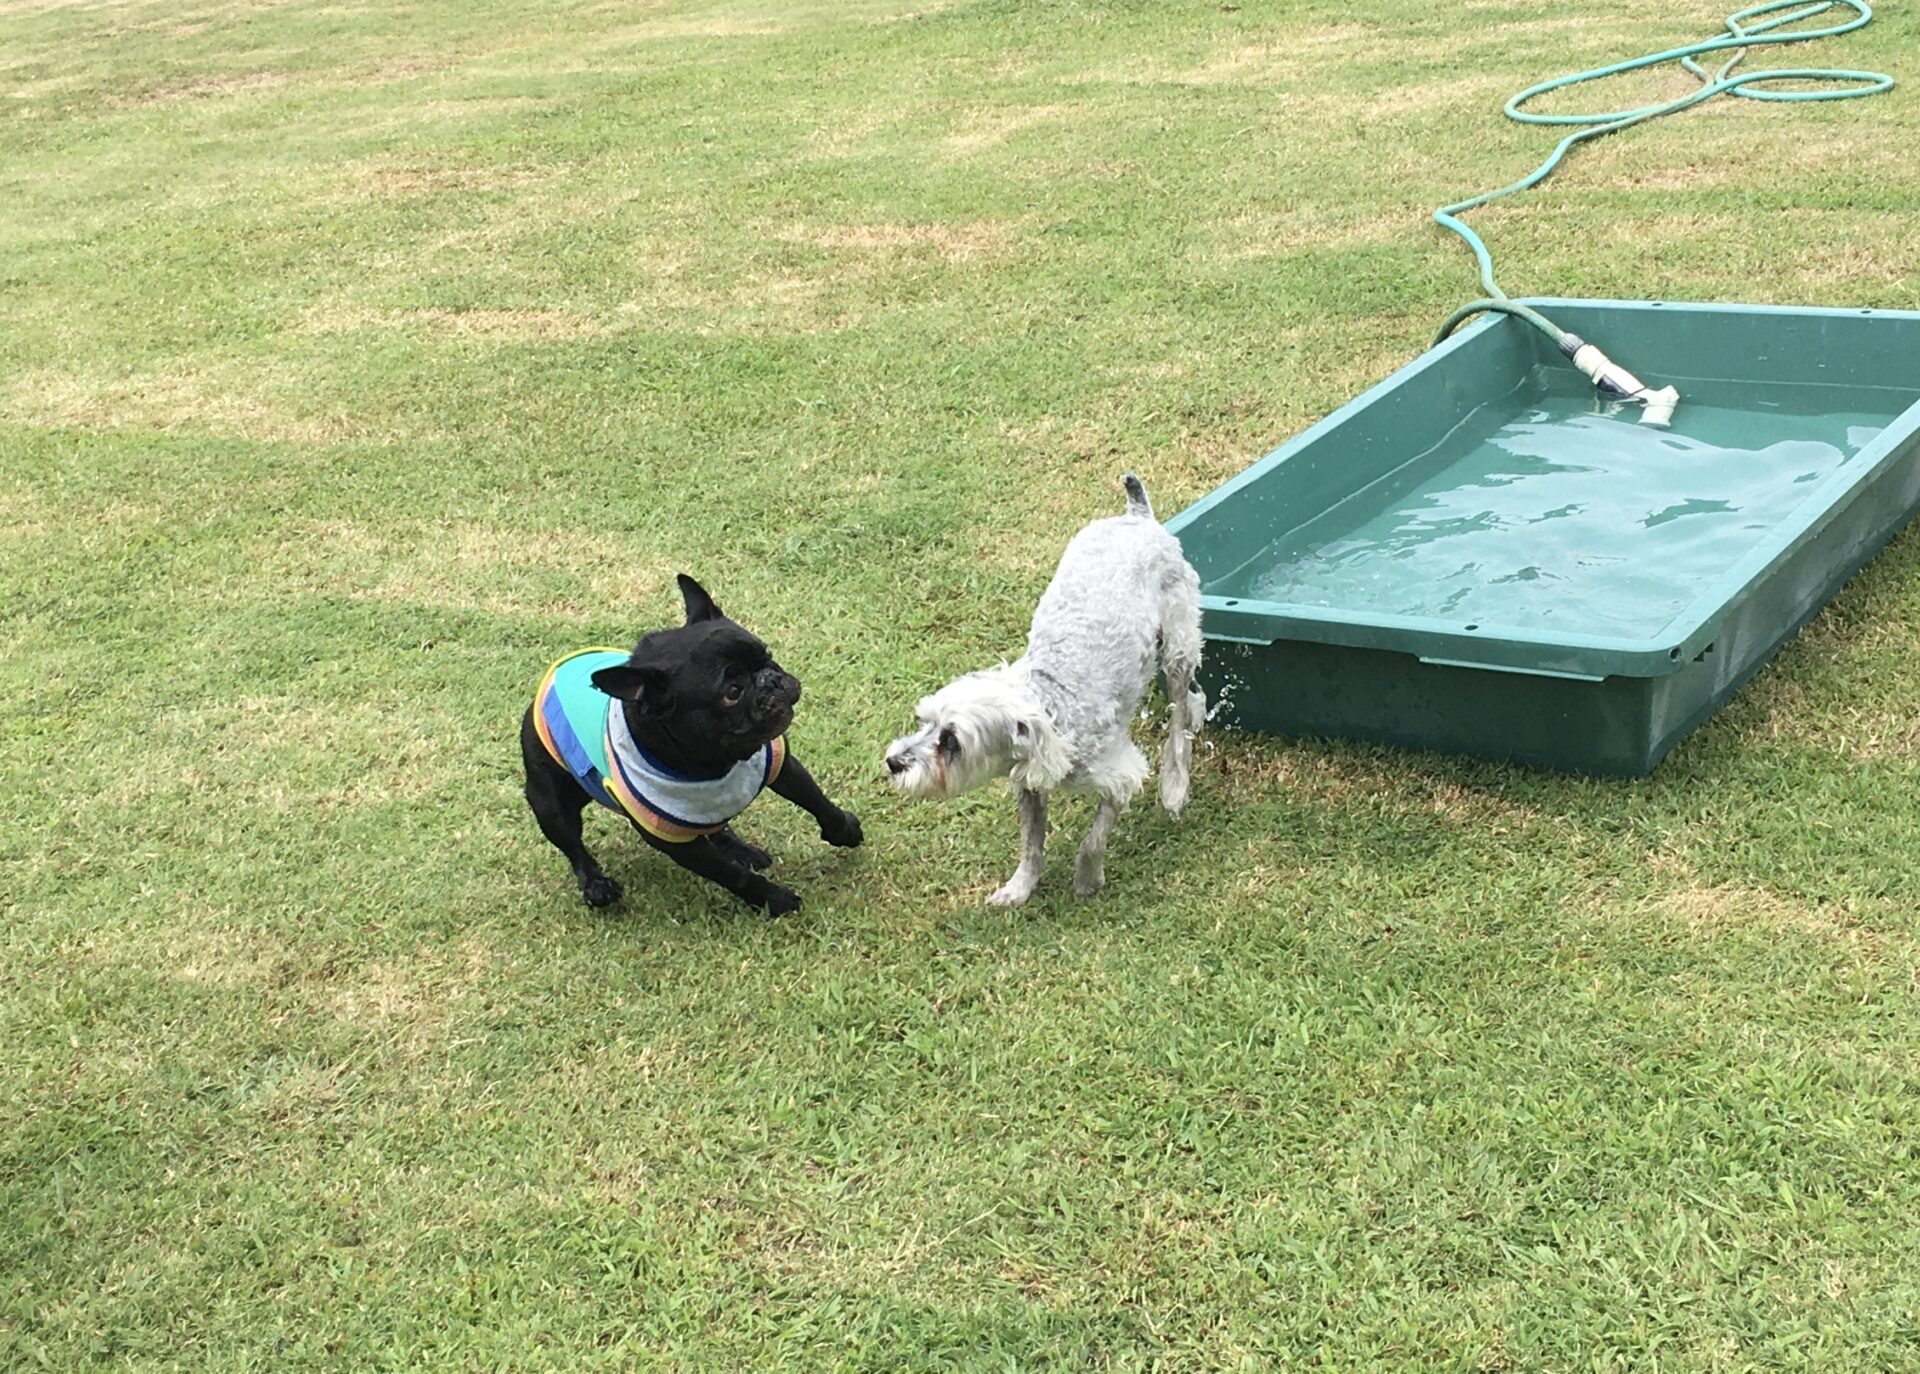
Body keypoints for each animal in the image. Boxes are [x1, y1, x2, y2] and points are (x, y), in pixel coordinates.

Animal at [520, 574, 863, 914]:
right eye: (732, 692)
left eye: (767, 654)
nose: (770, 680)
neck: (717, 761)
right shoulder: (676, 843)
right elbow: (731, 875)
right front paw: (773, 899)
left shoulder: (780, 764)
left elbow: (817, 801)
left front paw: (845, 830)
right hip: (550, 803)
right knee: (573, 846)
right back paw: (596, 885)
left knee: (717, 826)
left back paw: (741, 850)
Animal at [884, 473, 1204, 904]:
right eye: (923, 721)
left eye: (951, 742)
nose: (893, 762)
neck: (1053, 706)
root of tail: (1137, 516)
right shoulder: (1028, 785)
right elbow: (1031, 844)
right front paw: (1020, 887)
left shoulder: (1119, 776)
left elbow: (1093, 839)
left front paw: (1087, 878)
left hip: (1178, 648)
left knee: (1181, 714)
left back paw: (1174, 785)